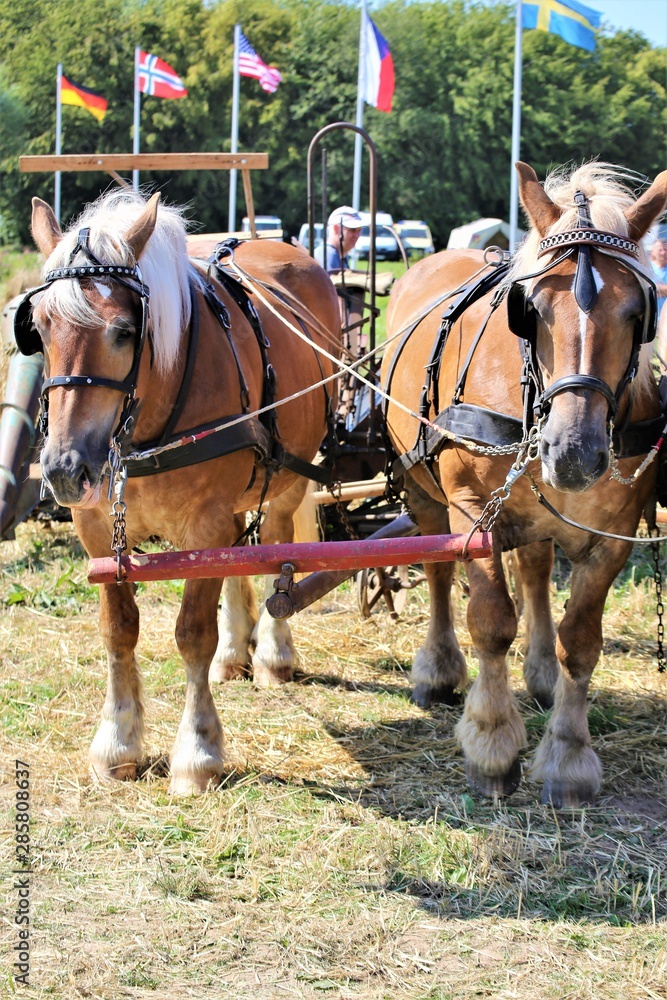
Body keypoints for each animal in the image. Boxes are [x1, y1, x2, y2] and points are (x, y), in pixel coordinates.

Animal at [18, 191, 342, 792]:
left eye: (125, 330)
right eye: (40, 327)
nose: (66, 469)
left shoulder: (204, 524)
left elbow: (192, 633)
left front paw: (197, 752)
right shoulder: (97, 529)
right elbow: (117, 630)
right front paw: (116, 741)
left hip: (289, 478)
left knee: (274, 546)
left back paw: (272, 654)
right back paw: (237, 651)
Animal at [380, 162, 667, 804]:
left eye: (637, 311)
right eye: (531, 309)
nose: (574, 452)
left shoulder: (614, 533)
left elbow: (580, 640)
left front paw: (568, 757)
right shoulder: (471, 508)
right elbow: (490, 621)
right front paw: (491, 746)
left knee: (535, 568)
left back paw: (539, 675)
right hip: (422, 485)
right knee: (438, 571)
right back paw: (439, 669)